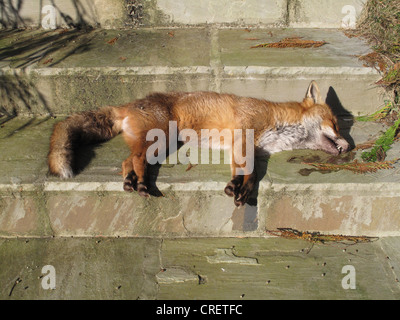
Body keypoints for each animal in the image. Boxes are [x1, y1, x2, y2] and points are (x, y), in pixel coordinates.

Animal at [47, 81, 350, 206]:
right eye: (335, 124)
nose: (349, 146)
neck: (276, 121)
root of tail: (129, 105)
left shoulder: (247, 148)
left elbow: (247, 172)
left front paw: (238, 187)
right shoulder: (244, 136)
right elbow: (250, 172)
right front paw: (241, 188)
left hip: (157, 144)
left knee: (127, 161)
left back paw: (131, 182)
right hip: (160, 139)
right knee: (136, 160)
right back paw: (142, 183)